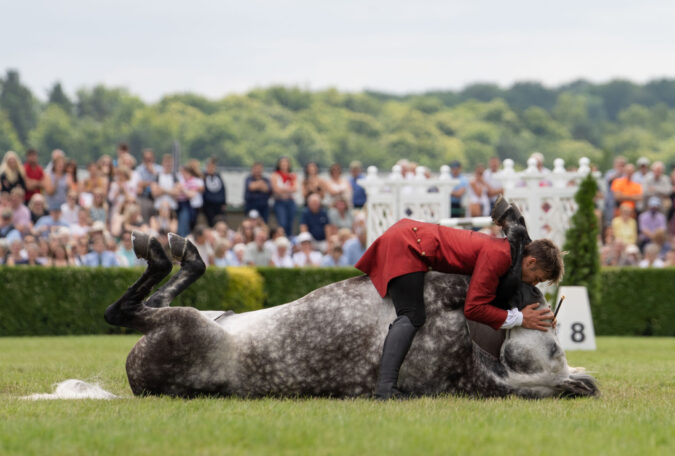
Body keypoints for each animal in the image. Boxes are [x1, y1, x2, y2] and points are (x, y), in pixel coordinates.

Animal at [104, 233, 596, 398]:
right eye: (557, 341)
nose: (537, 299)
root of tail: (134, 377)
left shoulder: (448, 290)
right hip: (210, 314)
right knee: (155, 297)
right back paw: (181, 250)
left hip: (181, 324)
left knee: (122, 310)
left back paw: (161, 251)